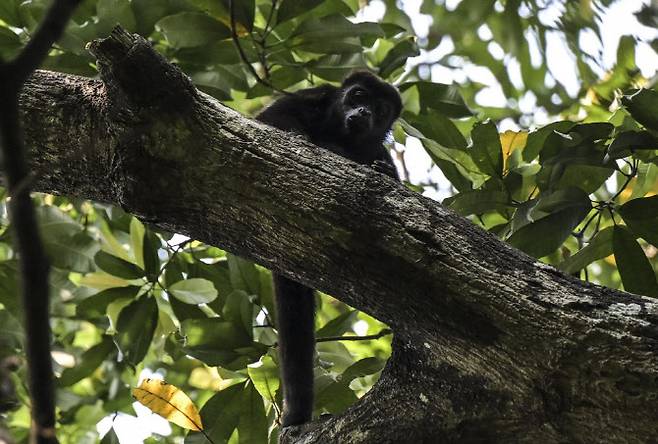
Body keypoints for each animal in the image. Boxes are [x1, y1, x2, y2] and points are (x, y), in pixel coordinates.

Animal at [255, 70, 400, 426]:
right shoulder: (313, 96)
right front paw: (300, 135)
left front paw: (382, 171)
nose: (364, 112)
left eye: (380, 109)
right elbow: (268, 119)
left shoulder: (378, 148)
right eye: (358, 95)